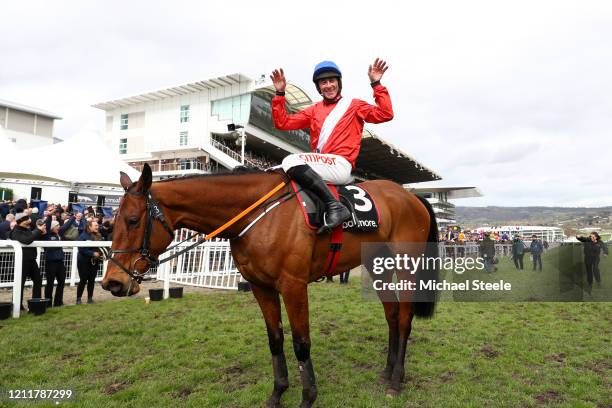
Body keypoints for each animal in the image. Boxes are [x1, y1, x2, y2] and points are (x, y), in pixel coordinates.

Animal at [101, 163, 436, 408]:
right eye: (111, 222)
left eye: (133, 220)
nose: (112, 282)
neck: (258, 213)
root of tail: (411, 196)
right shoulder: (260, 286)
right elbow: (275, 339)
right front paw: (278, 392)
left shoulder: (293, 285)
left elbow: (301, 342)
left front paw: (307, 397)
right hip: (377, 264)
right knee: (391, 315)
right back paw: (387, 371)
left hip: (406, 264)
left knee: (404, 318)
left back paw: (396, 381)